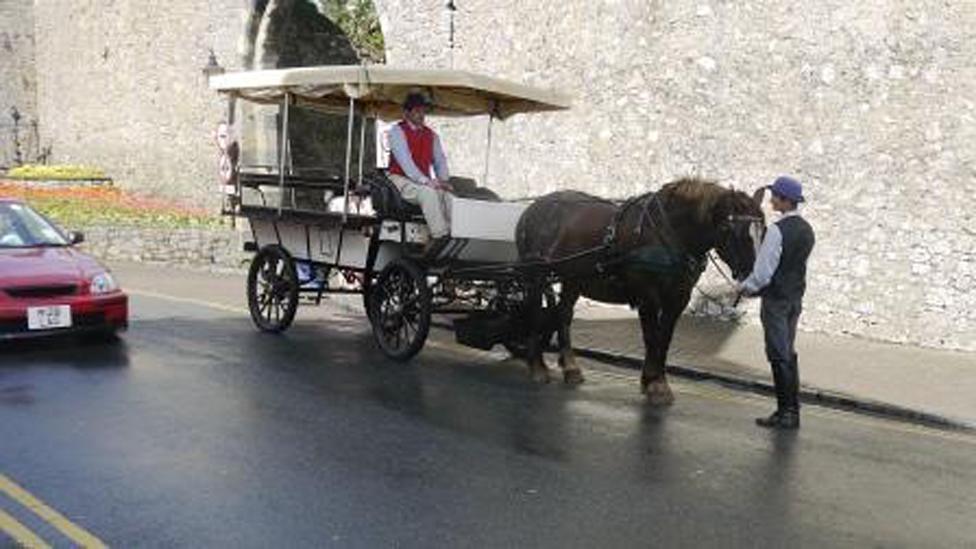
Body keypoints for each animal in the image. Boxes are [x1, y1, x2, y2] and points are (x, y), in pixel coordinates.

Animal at [516, 178, 768, 404]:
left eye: (763, 230)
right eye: (728, 228)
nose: (755, 277)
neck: (669, 232)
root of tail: (534, 207)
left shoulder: (678, 297)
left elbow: (664, 338)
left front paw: (654, 380)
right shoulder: (647, 294)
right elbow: (651, 336)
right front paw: (655, 384)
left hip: (572, 279)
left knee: (563, 314)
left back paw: (570, 366)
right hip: (535, 275)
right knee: (534, 312)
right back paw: (537, 365)